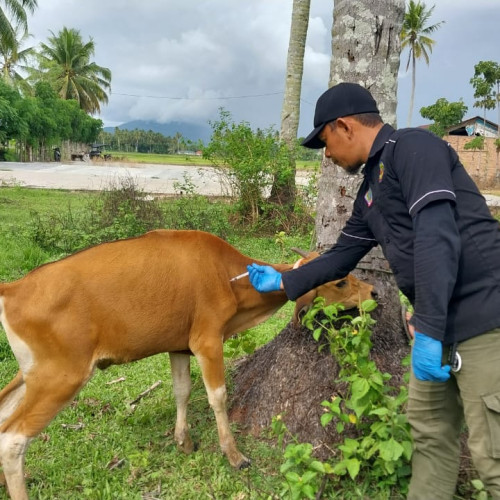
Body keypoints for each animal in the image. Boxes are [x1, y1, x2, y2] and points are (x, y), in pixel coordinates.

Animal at [0, 230, 374, 500]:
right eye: (341, 280)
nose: (373, 291)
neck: (228, 276)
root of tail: (14, 288)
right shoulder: (206, 340)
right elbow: (217, 396)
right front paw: (233, 455)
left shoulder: (179, 345)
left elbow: (181, 390)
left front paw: (184, 442)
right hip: (62, 375)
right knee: (14, 438)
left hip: (31, 373)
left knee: (4, 413)